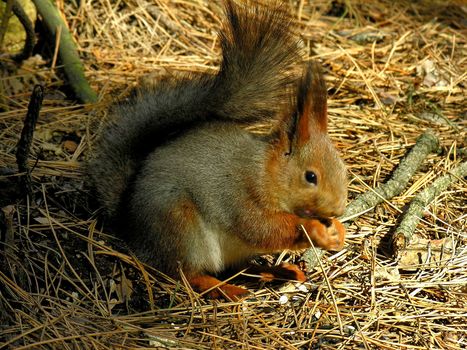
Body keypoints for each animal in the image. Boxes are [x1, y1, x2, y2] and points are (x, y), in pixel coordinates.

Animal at [89, 0, 348, 300]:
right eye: (310, 177)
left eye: (343, 169)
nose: (338, 209)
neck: (266, 171)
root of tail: (129, 227)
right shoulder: (240, 195)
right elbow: (261, 228)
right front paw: (313, 230)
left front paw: (337, 231)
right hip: (179, 225)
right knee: (184, 273)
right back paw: (225, 289)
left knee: (242, 266)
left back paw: (277, 271)